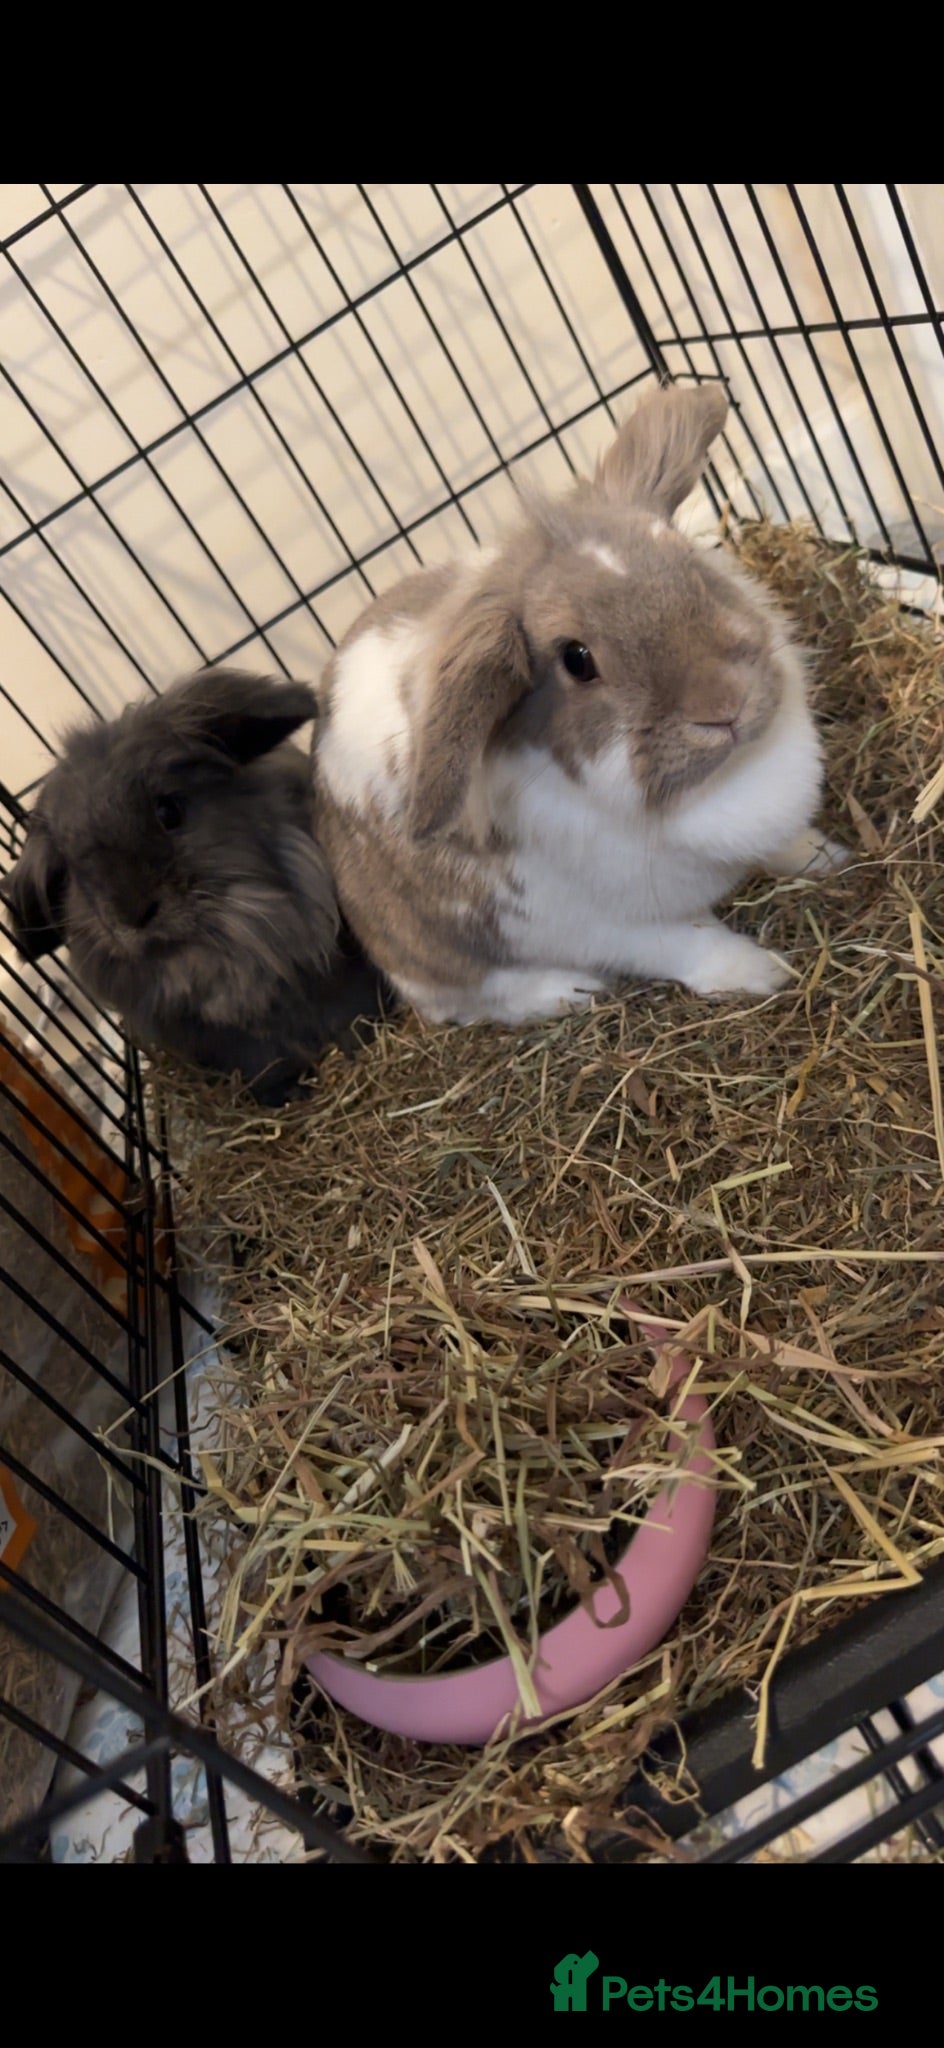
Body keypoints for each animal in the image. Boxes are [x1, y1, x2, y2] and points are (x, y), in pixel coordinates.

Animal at [0, 668, 388, 1105]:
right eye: (70, 869)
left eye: (169, 811)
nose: (132, 915)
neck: (220, 950)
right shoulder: (239, 1049)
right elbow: (269, 1070)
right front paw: (289, 1095)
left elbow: (352, 1021)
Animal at [312, 382, 851, 1029]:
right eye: (576, 659)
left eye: (689, 568)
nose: (727, 704)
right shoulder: (601, 922)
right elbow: (691, 944)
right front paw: (762, 974)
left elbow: (784, 846)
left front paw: (829, 855)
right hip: (445, 966)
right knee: (475, 1001)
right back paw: (567, 992)